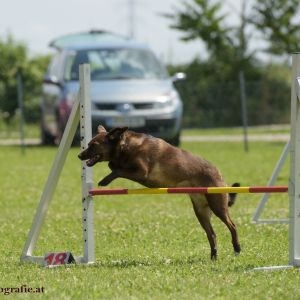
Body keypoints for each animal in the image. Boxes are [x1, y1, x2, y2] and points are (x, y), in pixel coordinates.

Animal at [78, 125, 240, 258]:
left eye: (93, 145)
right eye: (88, 144)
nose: (79, 155)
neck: (125, 145)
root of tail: (218, 173)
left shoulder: (142, 172)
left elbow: (116, 169)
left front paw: (104, 180)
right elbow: (115, 166)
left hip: (217, 205)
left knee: (232, 226)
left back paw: (237, 248)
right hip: (201, 211)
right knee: (211, 234)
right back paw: (214, 256)